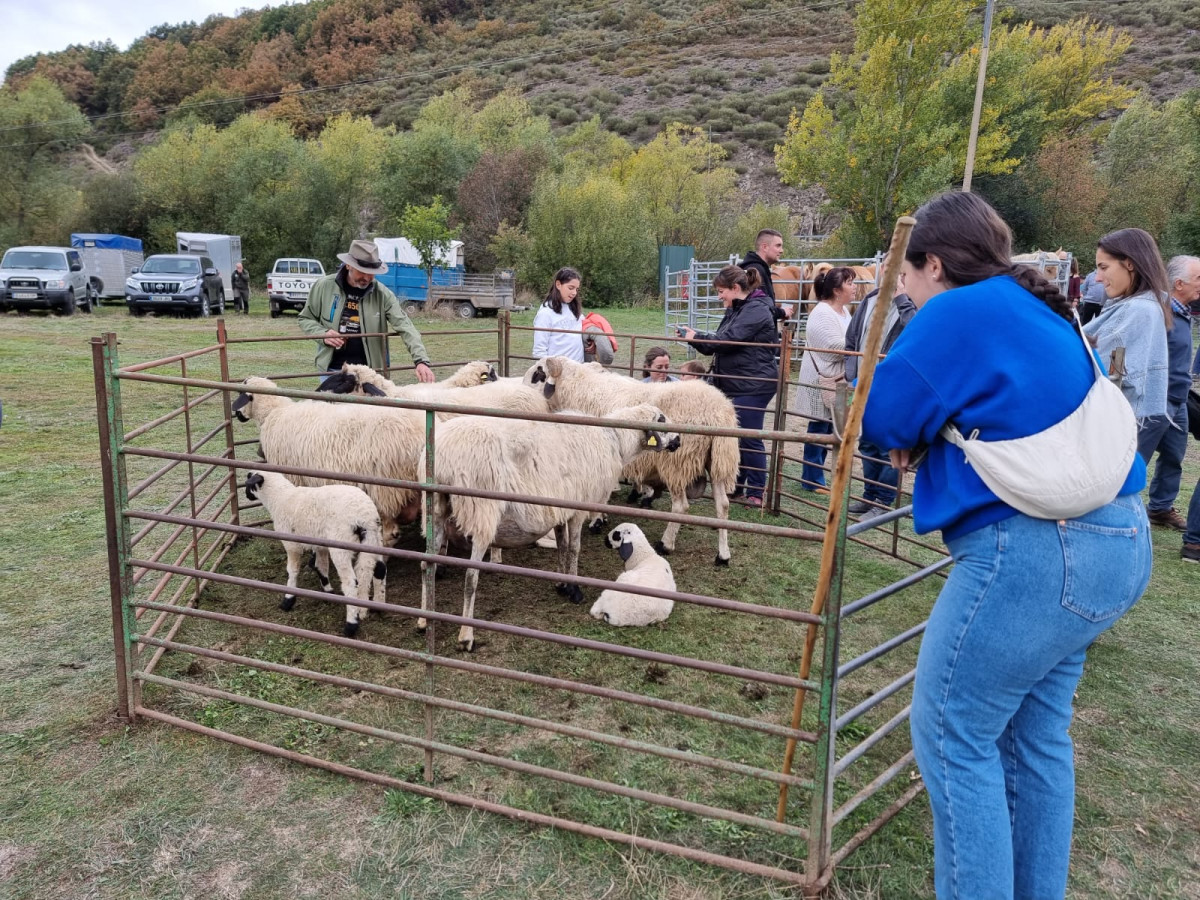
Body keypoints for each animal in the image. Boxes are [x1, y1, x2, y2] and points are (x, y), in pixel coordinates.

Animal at [230, 379, 427, 547]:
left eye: (241, 394)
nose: (236, 414)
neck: (274, 412)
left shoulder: (294, 480)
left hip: (385, 489)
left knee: (389, 531)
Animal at [244, 468, 388, 638]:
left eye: (248, 483)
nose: (247, 495)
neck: (280, 499)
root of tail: (364, 516)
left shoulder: (291, 544)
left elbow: (292, 571)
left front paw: (288, 600)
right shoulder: (320, 545)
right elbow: (321, 566)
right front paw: (328, 591)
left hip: (341, 547)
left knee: (351, 583)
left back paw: (351, 625)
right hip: (374, 540)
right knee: (380, 569)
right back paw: (379, 606)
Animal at [420, 405, 686, 652]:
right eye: (661, 418)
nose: (679, 440)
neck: (614, 439)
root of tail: (442, 455)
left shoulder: (559, 508)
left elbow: (562, 545)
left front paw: (561, 583)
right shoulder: (578, 507)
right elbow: (575, 548)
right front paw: (575, 589)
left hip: (435, 511)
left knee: (426, 564)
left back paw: (423, 620)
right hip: (481, 512)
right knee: (470, 577)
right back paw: (466, 636)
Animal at [528, 357, 739, 564]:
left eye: (537, 375)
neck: (576, 386)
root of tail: (718, 413)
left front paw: (597, 519)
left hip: (676, 463)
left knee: (681, 507)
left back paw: (665, 544)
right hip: (718, 463)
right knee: (723, 505)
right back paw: (723, 555)